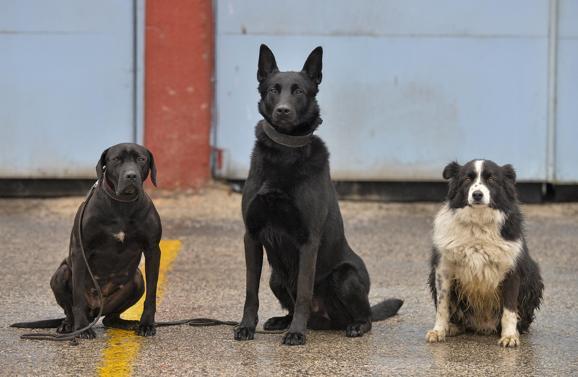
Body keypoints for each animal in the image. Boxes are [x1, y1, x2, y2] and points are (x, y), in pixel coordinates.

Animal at [233, 43, 400, 344]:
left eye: (299, 91)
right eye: (273, 89)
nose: (283, 111)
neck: (285, 151)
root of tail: (325, 320)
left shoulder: (308, 241)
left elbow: (303, 292)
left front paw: (296, 333)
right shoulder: (251, 236)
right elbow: (251, 291)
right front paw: (246, 327)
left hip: (346, 276)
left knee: (366, 316)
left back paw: (352, 326)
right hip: (276, 278)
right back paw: (281, 321)